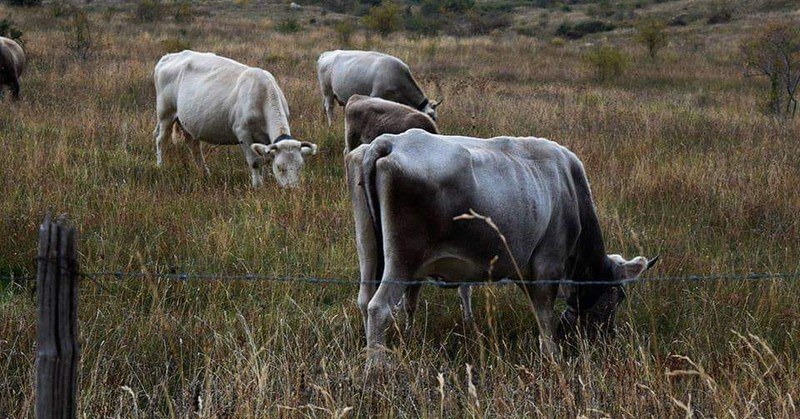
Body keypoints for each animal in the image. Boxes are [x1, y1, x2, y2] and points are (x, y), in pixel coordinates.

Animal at [153, 49, 318, 189]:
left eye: (300, 166)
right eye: (280, 167)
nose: (292, 189)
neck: (263, 95)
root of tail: (169, 56)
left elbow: (265, 157)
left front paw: (267, 180)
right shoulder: (242, 132)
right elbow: (255, 162)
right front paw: (258, 186)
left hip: (189, 122)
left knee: (193, 146)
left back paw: (205, 172)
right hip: (165, 113)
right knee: (161, 140)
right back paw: (160, 166)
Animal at [346, 130, 660, 370]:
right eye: (618, 297)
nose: (609, 339)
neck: (571, 190)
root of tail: (389, 141)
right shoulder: (547, 263)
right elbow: (544, 313)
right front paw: (552, 356)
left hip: (370, 251)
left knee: (364, 300)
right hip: (404, 259)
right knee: (379, 307)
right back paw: (376, 368)